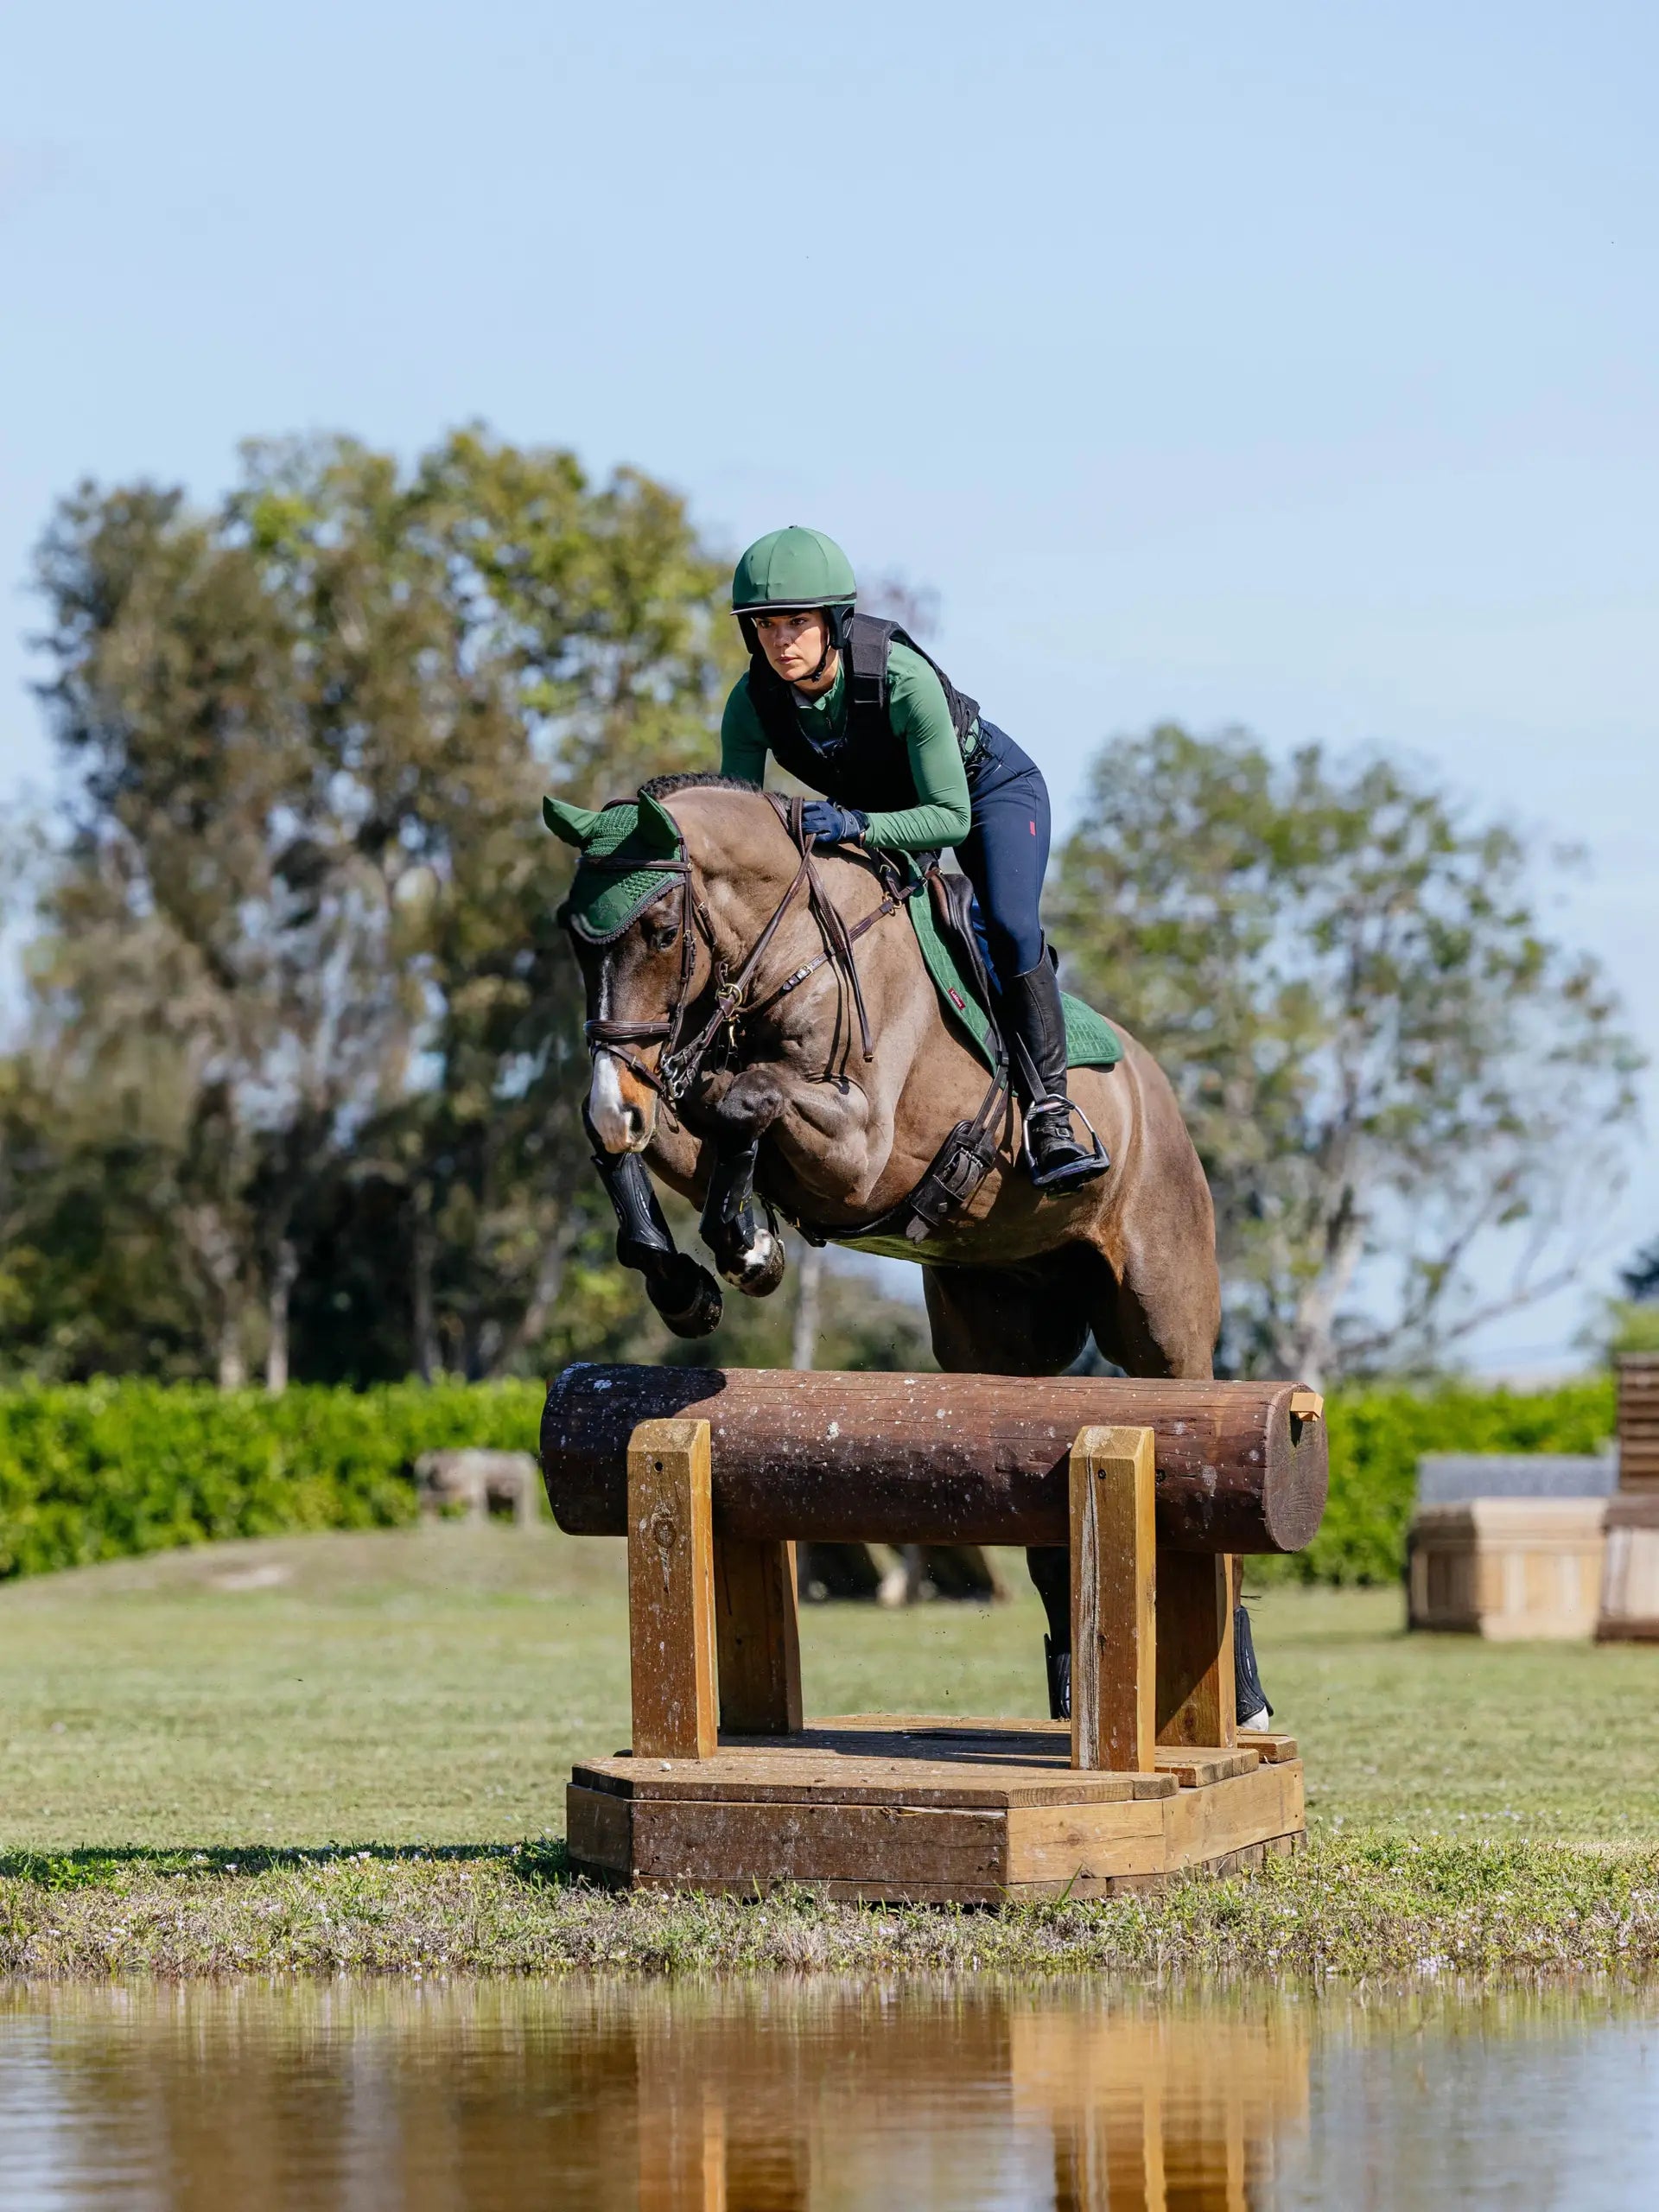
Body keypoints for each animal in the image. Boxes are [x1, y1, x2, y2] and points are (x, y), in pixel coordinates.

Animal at [549, 773, 1226, 1691]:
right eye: (575, 939)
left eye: (659, 930)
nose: (613, 1097)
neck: (791, 949)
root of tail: (1160, 1094)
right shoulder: (682, 1095)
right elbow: (673, 1131)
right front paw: (691, 1275)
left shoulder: (859, 1152)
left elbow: (743, 1099)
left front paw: (748, 1245)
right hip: (996, 1339)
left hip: (1162, 1328)